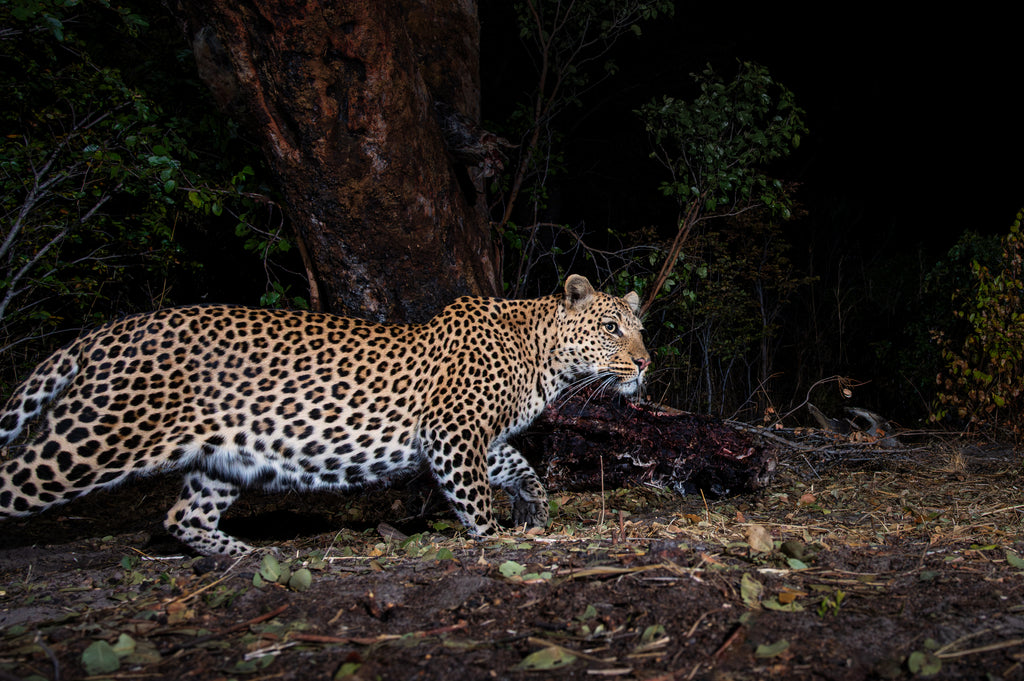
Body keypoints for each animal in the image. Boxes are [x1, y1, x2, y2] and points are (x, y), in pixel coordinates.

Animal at [0, 275, 650, 555]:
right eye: (610, 328)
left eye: (639, 327)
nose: (646, 363)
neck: (542, 357)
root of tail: (105, 332)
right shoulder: (452, 432)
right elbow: (473, 498)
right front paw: (494, 538)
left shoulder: (472, 440)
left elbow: (518, 465)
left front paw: (533, 509)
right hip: (90, 440)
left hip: (221, 459)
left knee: (183, 516)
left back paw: (249, 557)